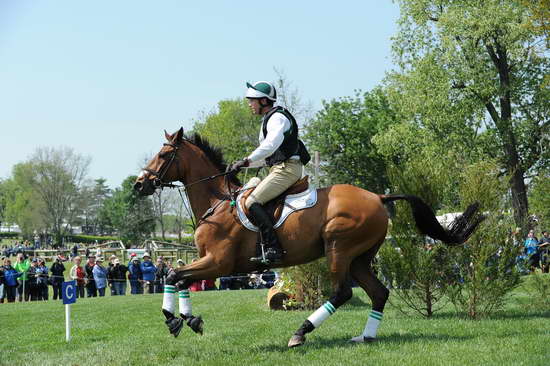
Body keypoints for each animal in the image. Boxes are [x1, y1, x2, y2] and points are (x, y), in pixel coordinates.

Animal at [136, 127, 486, 348]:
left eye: (163, 155)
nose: (140, 184)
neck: (217, 202)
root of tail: (378, 196)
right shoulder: (209, 262)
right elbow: (177, 275)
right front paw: (185, 319)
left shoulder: (220, 263)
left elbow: (174, 274)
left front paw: (176, 319)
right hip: (360, 258)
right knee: (379, 292)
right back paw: (365, 336)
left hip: (339, 248)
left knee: (342, 292)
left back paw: (300, 333)